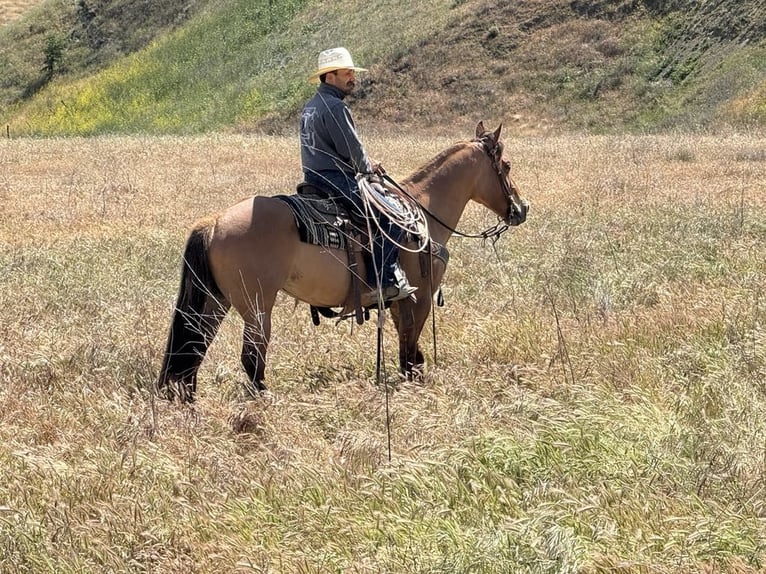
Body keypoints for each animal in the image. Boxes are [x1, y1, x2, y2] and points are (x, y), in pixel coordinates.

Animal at [156, 122, 529, 402]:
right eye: (507, 165)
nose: (521, 209)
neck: (423, 208)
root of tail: (215, 222)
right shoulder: (420, 296)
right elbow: (411, 349)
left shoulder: (398, 301)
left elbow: (406, 345)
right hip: (257, 306)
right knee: (251, 357)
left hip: (214, 302)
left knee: (193, 347)